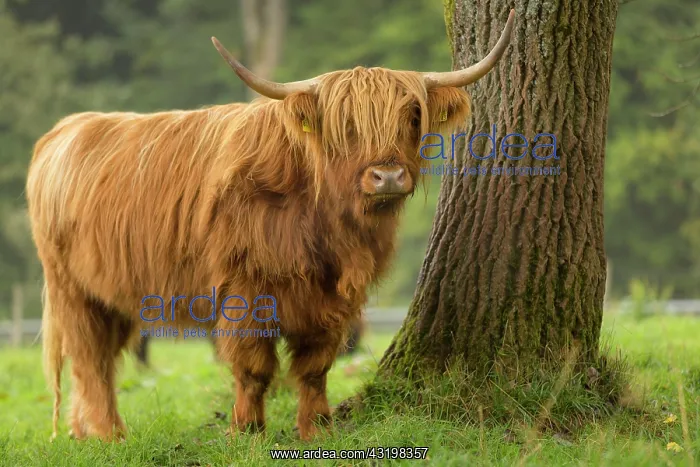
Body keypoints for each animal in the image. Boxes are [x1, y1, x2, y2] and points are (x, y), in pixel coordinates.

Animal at [26, 10, 514, 442]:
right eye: (346, 124)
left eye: (413, 116)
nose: (388, 176)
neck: (323, 224)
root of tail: (66, 129)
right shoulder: (244, 290)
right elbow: (254, 367)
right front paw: (246, 432)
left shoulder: (331, 300)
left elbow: (315, 368)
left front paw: (317, 430)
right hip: (71, 288)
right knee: (89, 360)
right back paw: (110, 435)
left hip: (113, 293)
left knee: (102, 359)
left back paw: (84, 432)